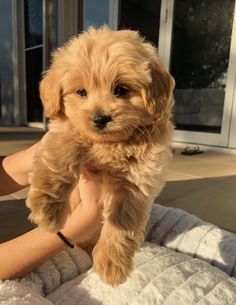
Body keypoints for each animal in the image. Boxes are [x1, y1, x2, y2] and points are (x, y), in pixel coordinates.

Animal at [25, 26, 174, 284]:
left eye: (121, 90)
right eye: (81, 92)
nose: (100, 118)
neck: (110, 145)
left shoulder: (140, 175)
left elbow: (123, 217)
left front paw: (112, 264)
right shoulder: (64, 130)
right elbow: (60, 157)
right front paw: (47, 209)